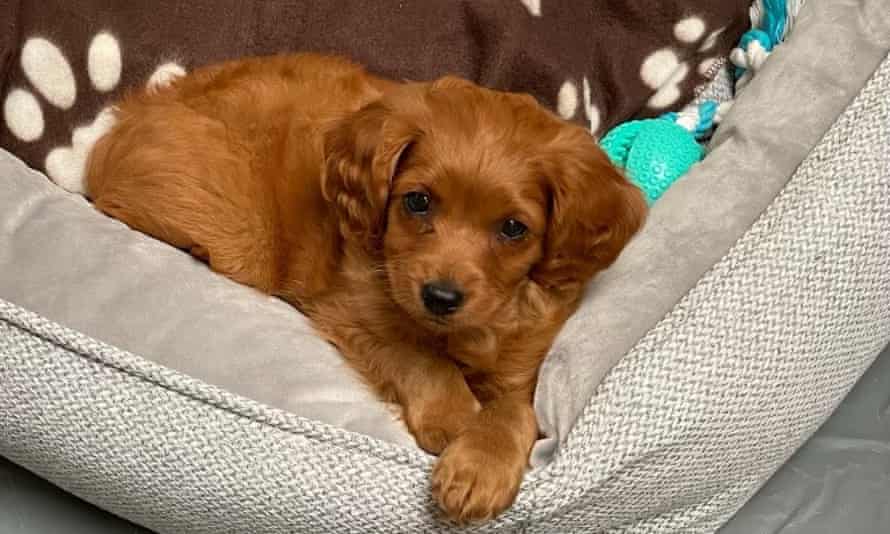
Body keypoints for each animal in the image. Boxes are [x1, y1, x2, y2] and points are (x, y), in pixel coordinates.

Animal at [85, 53, 644, 524]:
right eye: (417, 201)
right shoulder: (354, 310)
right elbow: (420, 358)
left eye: (513, 229)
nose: (440, 297)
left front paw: (479, 466)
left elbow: (516, 410)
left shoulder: (523, 359)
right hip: (241, 238)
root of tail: (127, 117)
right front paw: (454, 418)